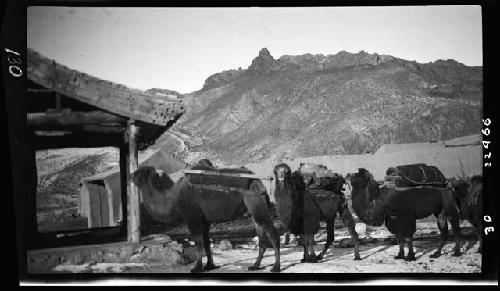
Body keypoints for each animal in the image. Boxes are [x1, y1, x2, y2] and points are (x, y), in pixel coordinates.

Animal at [132, 164, 282, 274]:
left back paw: (276, 267)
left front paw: (196, 268)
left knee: (272, 233)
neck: (174, 198)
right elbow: (206, 242)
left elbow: (198, 243)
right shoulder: (204, 220)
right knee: (261, 235)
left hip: (255, 201)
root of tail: (259, 182)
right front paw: (209, 266)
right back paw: (255, 266)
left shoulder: (194, 218)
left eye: (140, 173)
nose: (130, 175)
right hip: (254, 207)